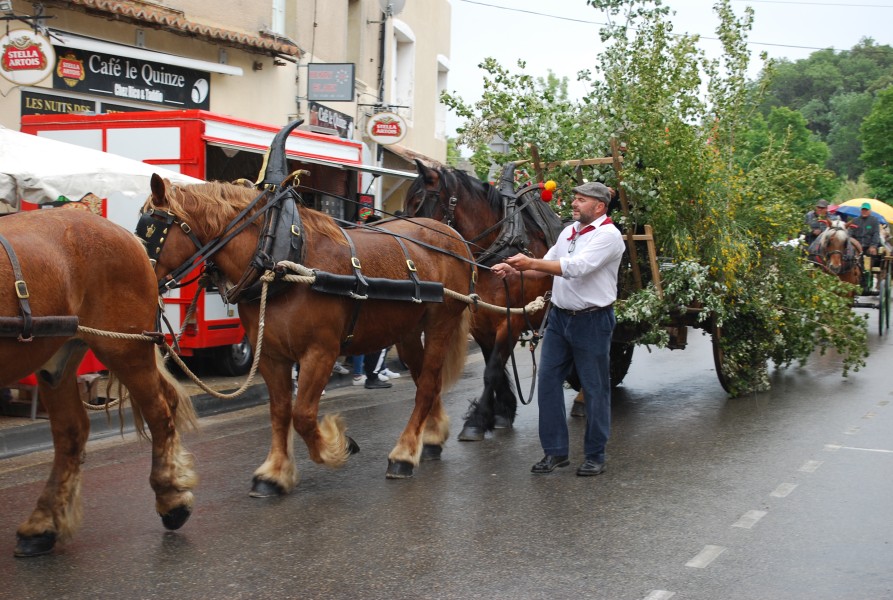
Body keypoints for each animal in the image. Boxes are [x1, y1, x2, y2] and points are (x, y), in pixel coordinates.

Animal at [0, 211, 197, 556]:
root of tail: (128, 236)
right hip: (59, 357)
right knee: (71, 431)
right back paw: (43, 523)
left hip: (124, 348)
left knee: (159, 412)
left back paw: (171, 498)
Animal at [406, 162, 564, 438]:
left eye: (417, 202)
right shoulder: (480, 321)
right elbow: (495, 367)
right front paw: (502, 411)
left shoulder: (512, 321)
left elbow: (492, 370)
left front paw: (476, 421)